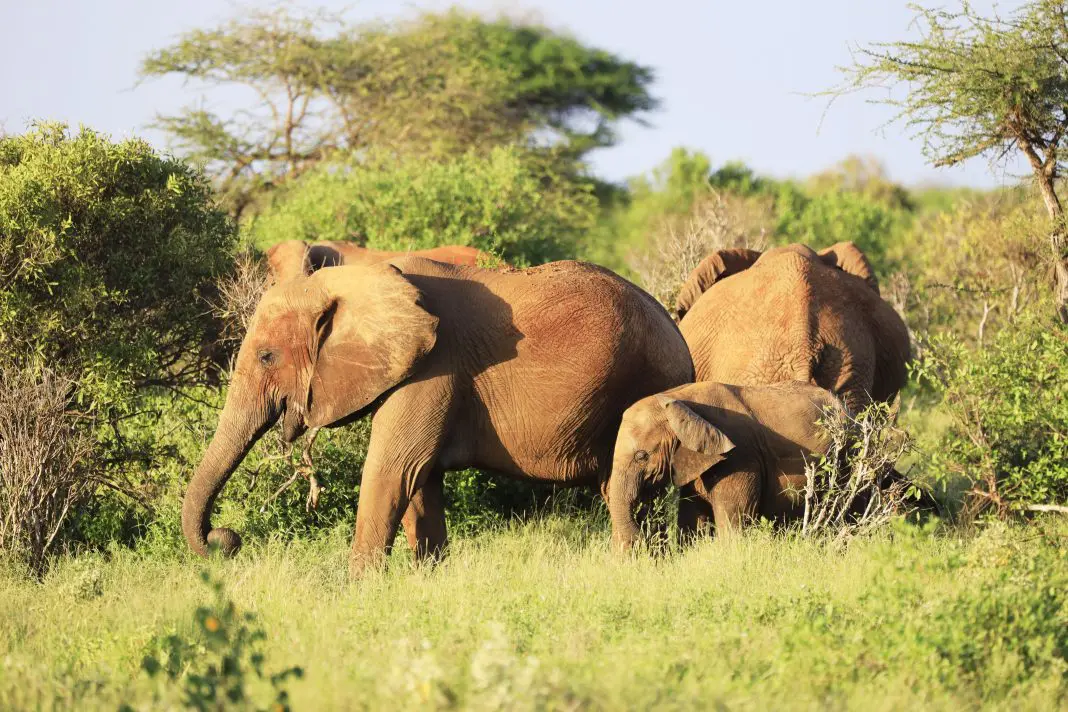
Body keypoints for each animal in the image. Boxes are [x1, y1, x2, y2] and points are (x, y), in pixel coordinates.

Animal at [182, 257, 694, 575]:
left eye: (267, 357)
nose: (226, 539)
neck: (353, 280)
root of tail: (679, 335)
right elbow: (419, 482)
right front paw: (425, 579)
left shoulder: (434, 367)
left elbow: (393, 470)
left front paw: (358, 592)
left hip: (645, 383)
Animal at [607, 380, 844, 550]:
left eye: (641, 456)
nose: (643, 538)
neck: (677, 398)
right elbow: (693, 521)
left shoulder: (740, 458)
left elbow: (732, 524)